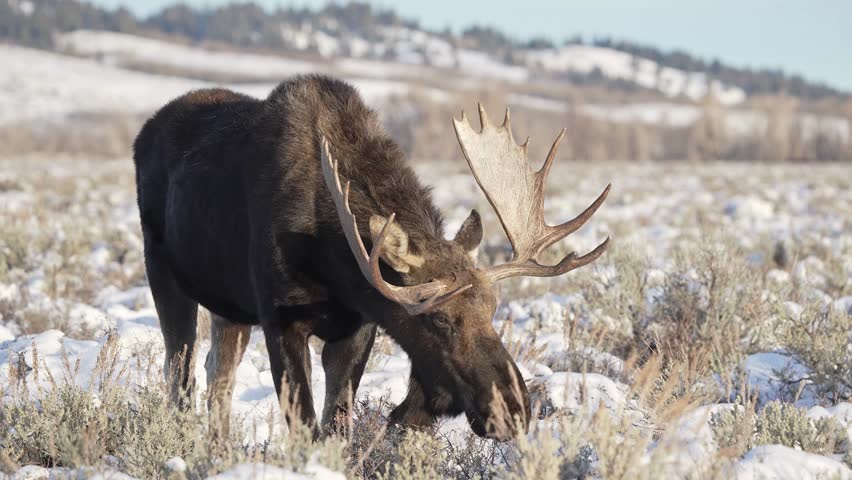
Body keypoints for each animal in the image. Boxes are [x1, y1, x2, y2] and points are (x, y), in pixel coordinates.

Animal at [133, 74, 608, 438]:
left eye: (493, 308)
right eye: (438, 319)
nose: (514, 409)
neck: (332, 259)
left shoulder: (359, 326)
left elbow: (336, 426)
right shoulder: (279, 317)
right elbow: (304, 426)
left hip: (228, 308)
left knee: (219, 376)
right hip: (163, 273)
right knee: (180, 375)